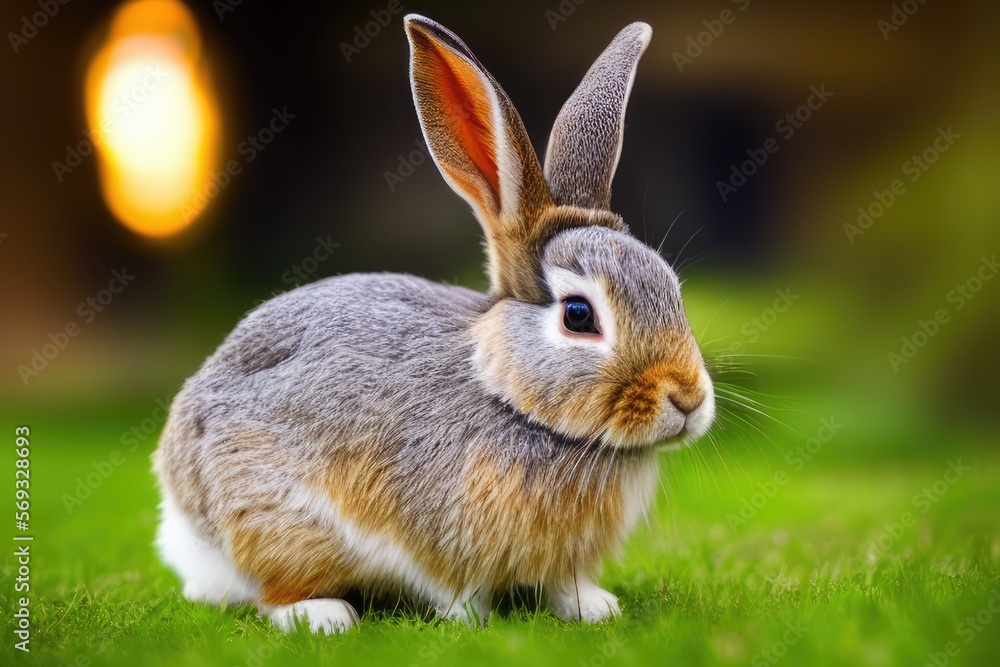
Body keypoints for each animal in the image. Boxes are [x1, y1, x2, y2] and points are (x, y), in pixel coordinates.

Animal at [152, 13, 715, 634]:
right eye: (579, 315)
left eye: (671, 287)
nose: (688, 399)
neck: (508, 397)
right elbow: (454, 588)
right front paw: (472, 621)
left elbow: (565, 587)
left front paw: (594, 608)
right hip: (274, 517)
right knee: (270, 587)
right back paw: (324, 614)